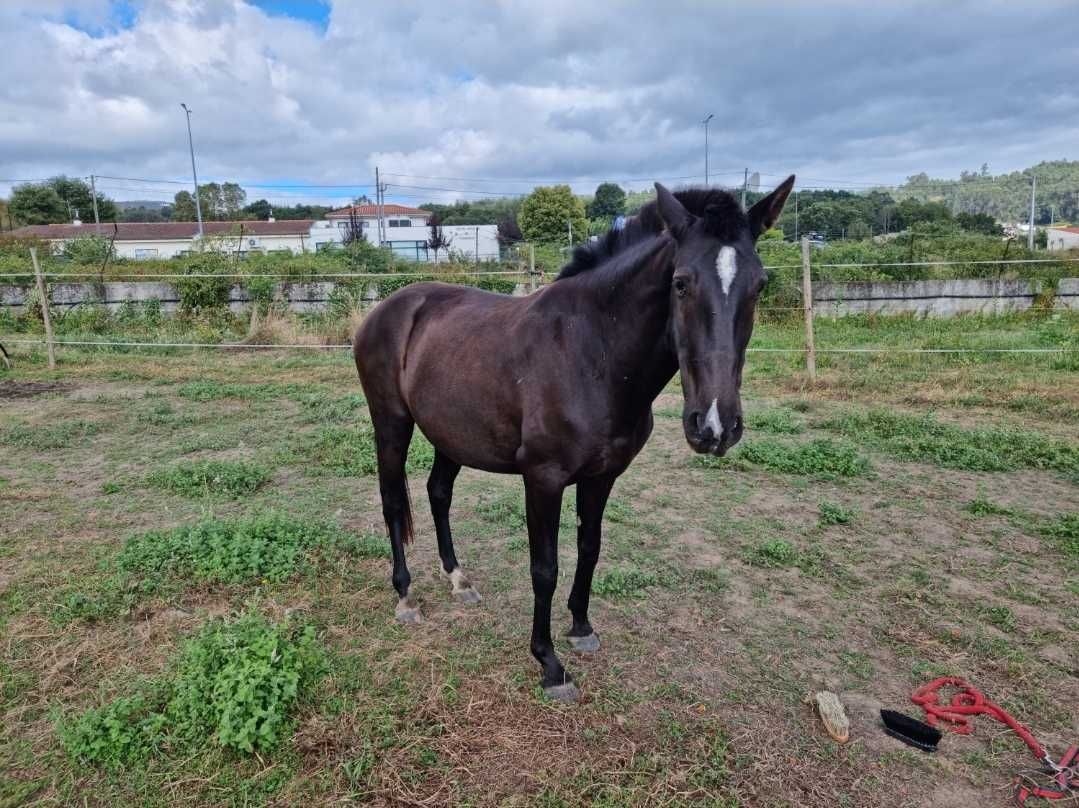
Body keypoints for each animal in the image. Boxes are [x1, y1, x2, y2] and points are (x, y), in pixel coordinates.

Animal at [351, 177, 794, 699]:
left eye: (759, 285)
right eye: (681, 283)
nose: (715, 425)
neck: (591, 352)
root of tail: (387, 309)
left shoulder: (602, 476)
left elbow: (590, 548)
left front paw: (581, 627)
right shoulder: (542, 479)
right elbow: (544, 568)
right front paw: (549, 663)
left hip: (452, 434)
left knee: (438, 494)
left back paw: (458, 580)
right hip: (391, 425)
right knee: (392, 503)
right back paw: (405, 595)